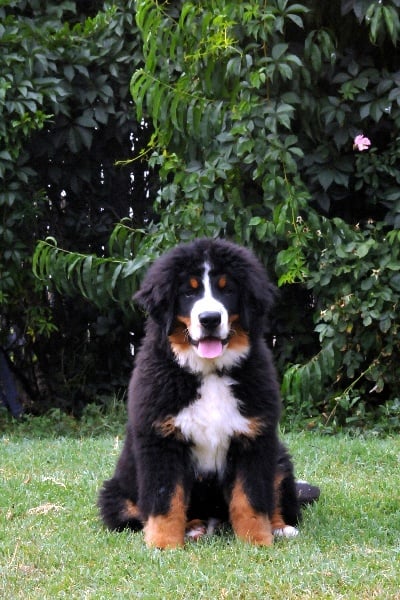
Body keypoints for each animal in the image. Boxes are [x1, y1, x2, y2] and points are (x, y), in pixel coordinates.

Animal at [98, 238, 306, 548]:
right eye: (189, 291)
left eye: (227, 289)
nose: (210, 319)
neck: (209, 373)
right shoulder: (162, 441)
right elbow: (165, 499)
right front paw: (163, 544)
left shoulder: (253, 440)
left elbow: (251, 498)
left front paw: (257, 541)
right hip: (116, 494)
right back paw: (193, 527)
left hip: (278, 458)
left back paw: (280, 528)